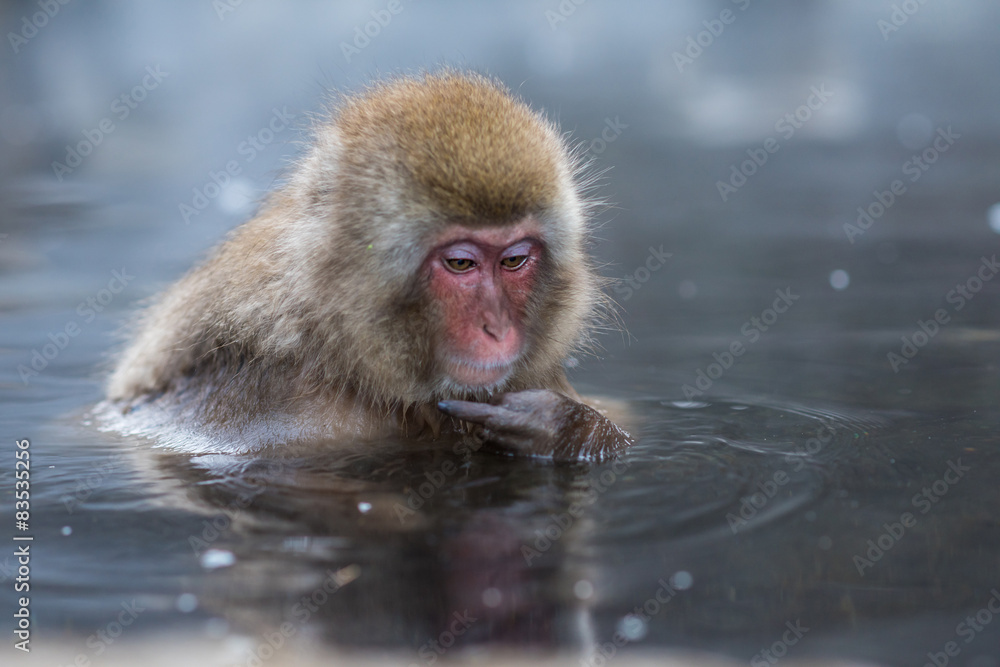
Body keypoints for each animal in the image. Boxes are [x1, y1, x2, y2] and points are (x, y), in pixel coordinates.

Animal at [104, 70, 632, 462]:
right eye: (460, 263)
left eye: (514, 260)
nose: (497, 329)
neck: (339, 356)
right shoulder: (274, 414)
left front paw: (564, 427)